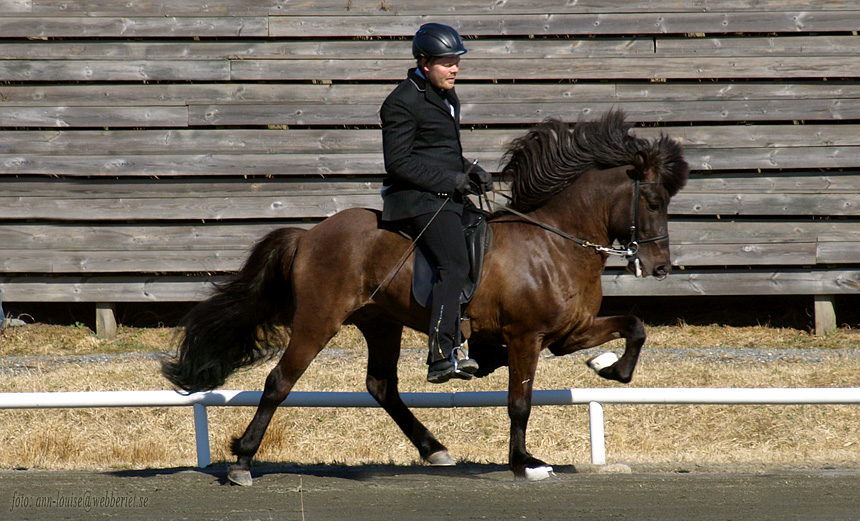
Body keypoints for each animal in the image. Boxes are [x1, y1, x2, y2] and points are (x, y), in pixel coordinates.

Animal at [163, 110, 692, 484]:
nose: (661, 268)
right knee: (279, 381)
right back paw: (242, 463)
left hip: (381, 322)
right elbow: (520, 401)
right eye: (652, 201)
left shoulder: (567, 332)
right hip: (318, 320)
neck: (556, 242)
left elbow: (635, 327)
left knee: (381, 386)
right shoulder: (527, 336)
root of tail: (310, 235)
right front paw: (524, 462)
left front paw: (610, 370)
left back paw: (434, 448)